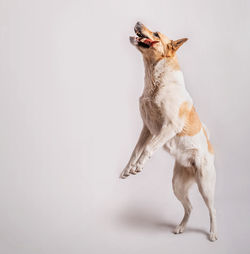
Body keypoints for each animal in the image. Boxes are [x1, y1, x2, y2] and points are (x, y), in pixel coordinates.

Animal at [120, 20, 218, 241]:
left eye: (156, 33)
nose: (137, 21)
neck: (156, 80)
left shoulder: (169, 126)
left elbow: (148, 149)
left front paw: (139, 166)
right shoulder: (147, 128)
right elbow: (135, 151)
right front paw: (128, 168)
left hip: (205, 185)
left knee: (212, 209)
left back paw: (213, 233)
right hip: (177, 185)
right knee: (189, 207)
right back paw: (181, 227)